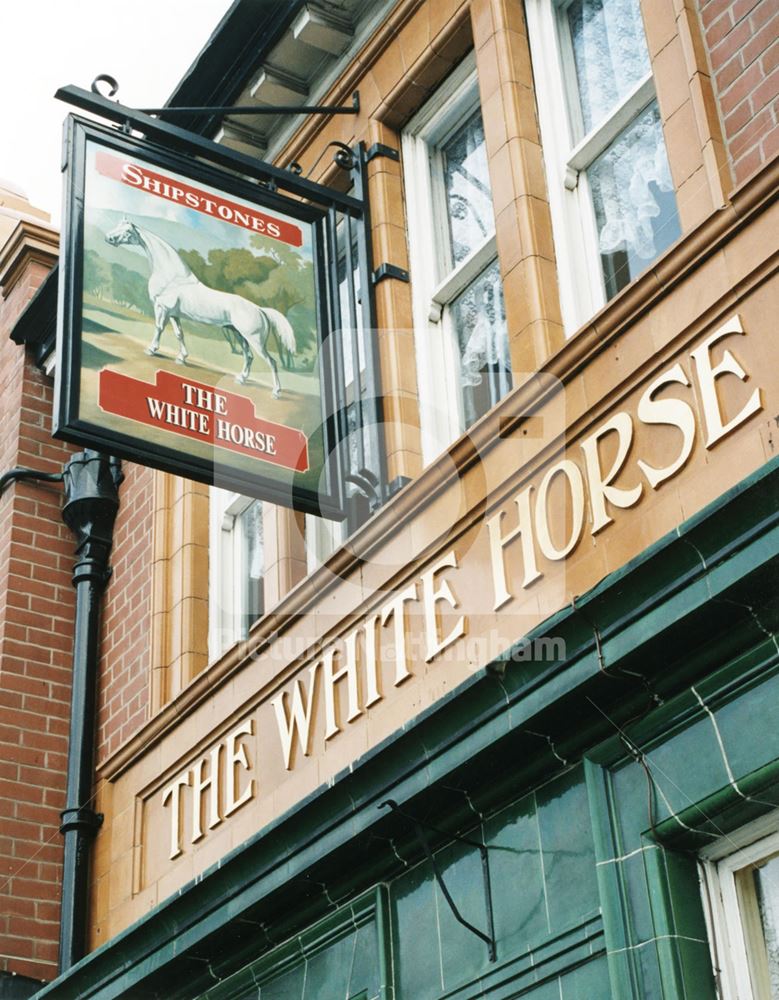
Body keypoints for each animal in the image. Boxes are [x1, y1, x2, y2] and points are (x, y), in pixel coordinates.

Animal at [103, 220, 296, 398]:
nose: (108, 238)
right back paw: (241, 379)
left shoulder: (162, 308)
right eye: (118, 226)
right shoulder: (174, 314)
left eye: (128, 231)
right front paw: (181, 358)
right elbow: (179, 334)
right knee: (248, 357)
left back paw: (276, 392)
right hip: (240, 335)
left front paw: (151, 350)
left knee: (271, 362)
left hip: (254, 339)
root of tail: (260, 309)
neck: (173, 278)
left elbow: (158, 328)